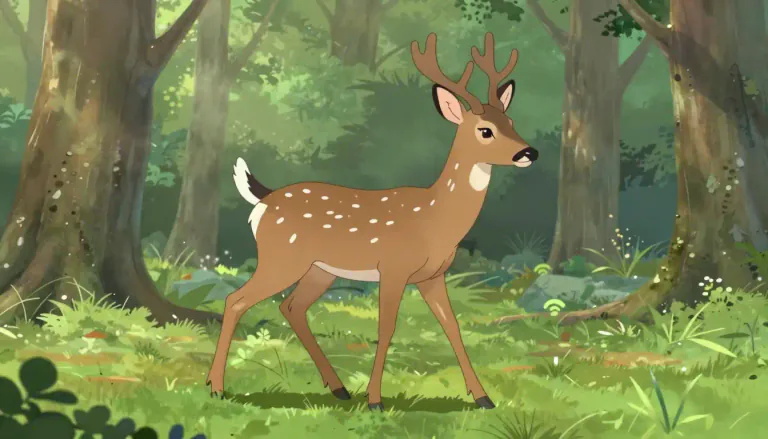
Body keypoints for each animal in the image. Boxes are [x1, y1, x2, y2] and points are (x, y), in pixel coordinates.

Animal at [206, 32, 538, 411]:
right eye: (485, 130)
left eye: (511, 123)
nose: (529, 152)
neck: (435, 220)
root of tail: (263, 200)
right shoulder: (393, 267)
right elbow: (386, 327)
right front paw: (376, 399)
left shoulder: (433, 275)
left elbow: (452, 327)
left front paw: (483, 397)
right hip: (281, 258)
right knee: (236, 300)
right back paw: (216, 387)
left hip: (318, 269)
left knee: (291, 307)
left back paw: (338, 388)